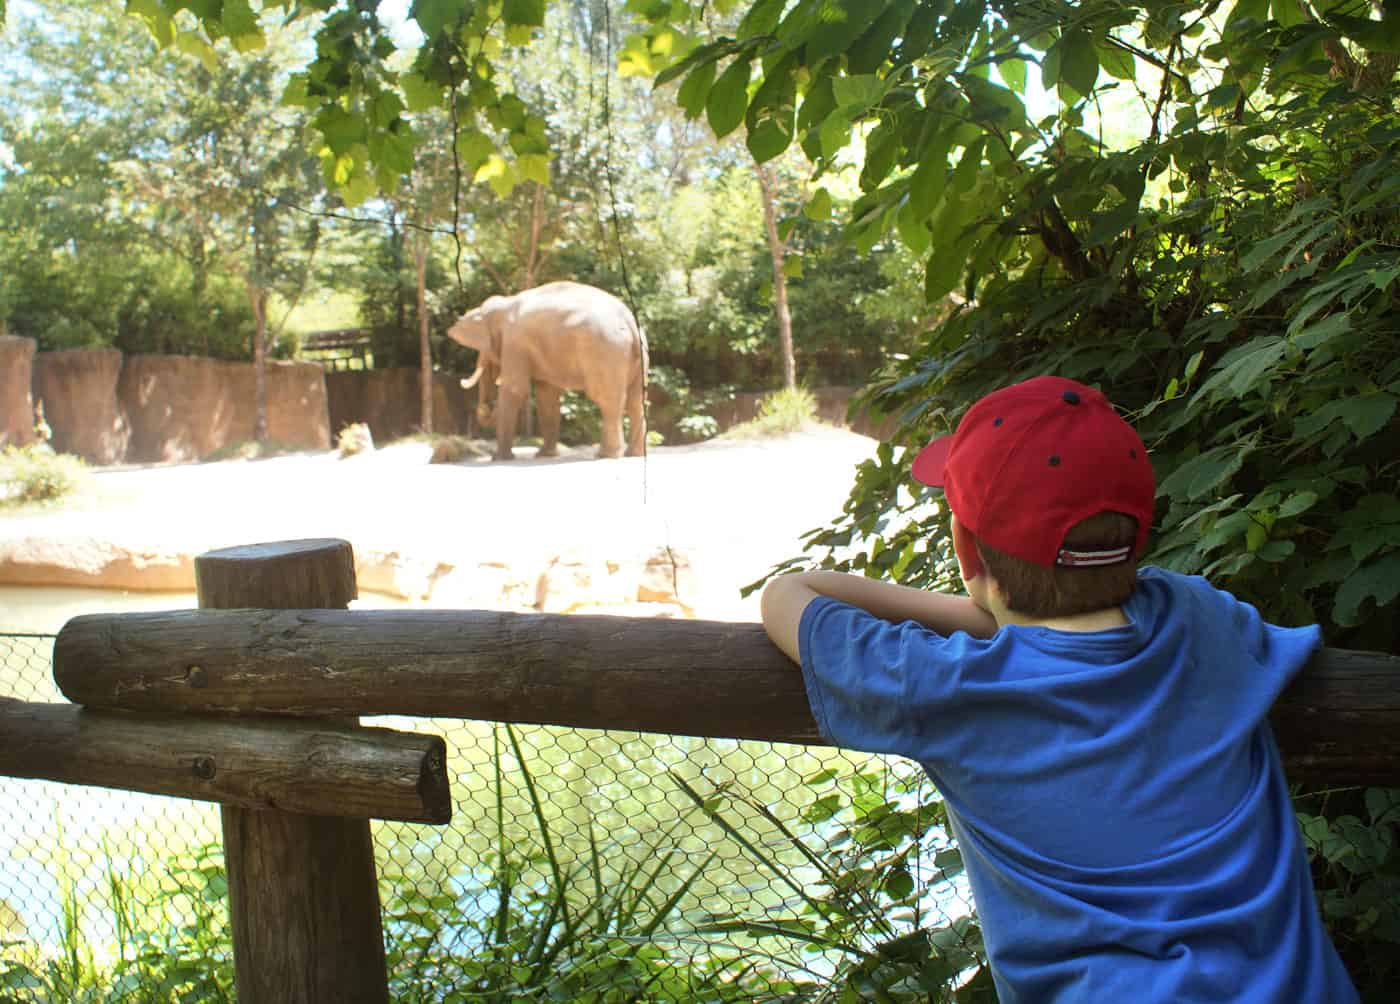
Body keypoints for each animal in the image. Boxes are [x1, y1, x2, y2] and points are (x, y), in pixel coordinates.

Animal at [448, 278, 644, 459]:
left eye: (485, 350)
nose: (484, 408)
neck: (504, 304)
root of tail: (628, 319)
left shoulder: (515, 341)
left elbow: (515, 389)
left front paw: (499, 459)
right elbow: (546, 397)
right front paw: (545, 455)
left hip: (606, 352)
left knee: (607, 399)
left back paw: (606, 455)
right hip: (635, 354)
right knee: (635, 402)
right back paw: (633, 454)